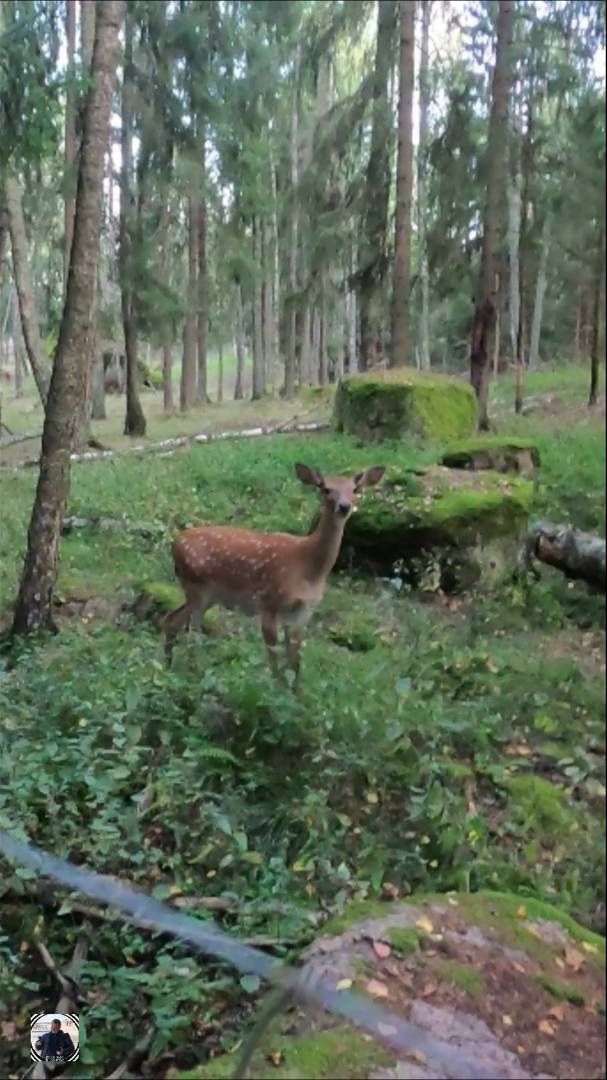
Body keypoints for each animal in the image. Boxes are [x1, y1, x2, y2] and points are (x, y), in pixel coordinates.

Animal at [162, 462, 385, 683]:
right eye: (325, 488)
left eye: (355, 489)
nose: (344, 506)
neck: (308, 569)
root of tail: (174, 543)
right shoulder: (269, 602)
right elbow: (274, 663)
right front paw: (275, 691)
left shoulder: (303, 613)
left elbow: (294, 665)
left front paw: (295, 692)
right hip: (196, 587)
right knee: (173, 622)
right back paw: (170, 670)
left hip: (208, 596)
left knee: (189, 628)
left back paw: (190, 671)